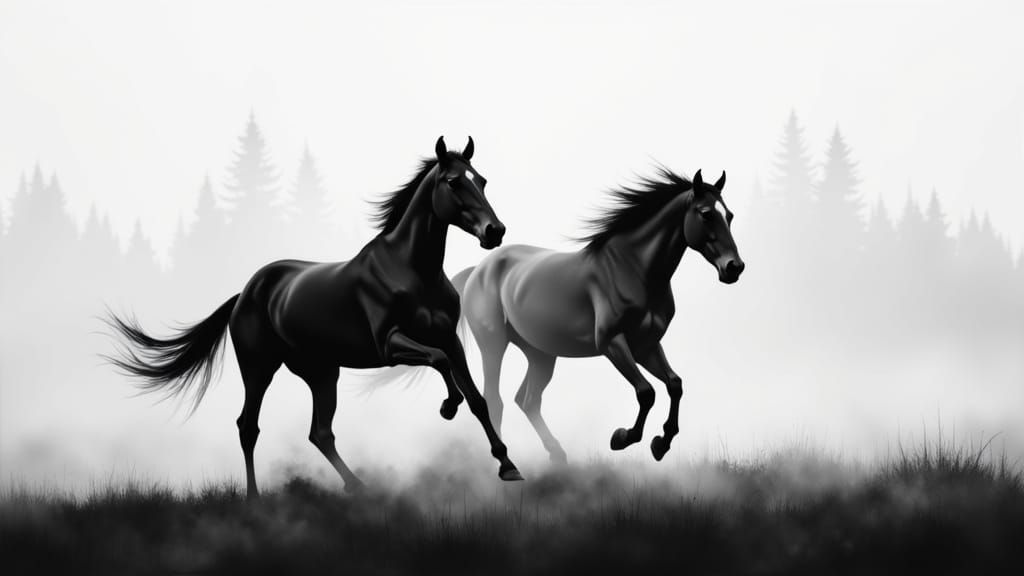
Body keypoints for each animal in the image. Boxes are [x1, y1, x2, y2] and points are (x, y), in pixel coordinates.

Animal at [106, 136, 523, 499]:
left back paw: (357, 486)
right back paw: (254, 498)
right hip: (259, 368)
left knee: (320, 432)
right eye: (453, 181)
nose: (495, 231)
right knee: (248, 426)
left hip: (322, 371)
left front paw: (508, 466)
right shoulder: (390, 345)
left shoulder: (450, 339)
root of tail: (246, 293)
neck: (413, 271)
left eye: (481, 180)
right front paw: (448, 407)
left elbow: (478, 398)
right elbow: (439, 365)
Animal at [451, 168, 744, 464]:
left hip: (540, 353)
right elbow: (646, 392)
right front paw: (622, 438)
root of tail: (479, 269)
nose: (734, 267)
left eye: (729, 215)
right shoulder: (612, 343)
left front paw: (661, 444)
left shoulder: (646, 345)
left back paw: (557, 455)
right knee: (494, 399)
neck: (632, 269)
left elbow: (675, 384)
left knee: (527, 399)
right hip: (493, 345)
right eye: (706, 213)